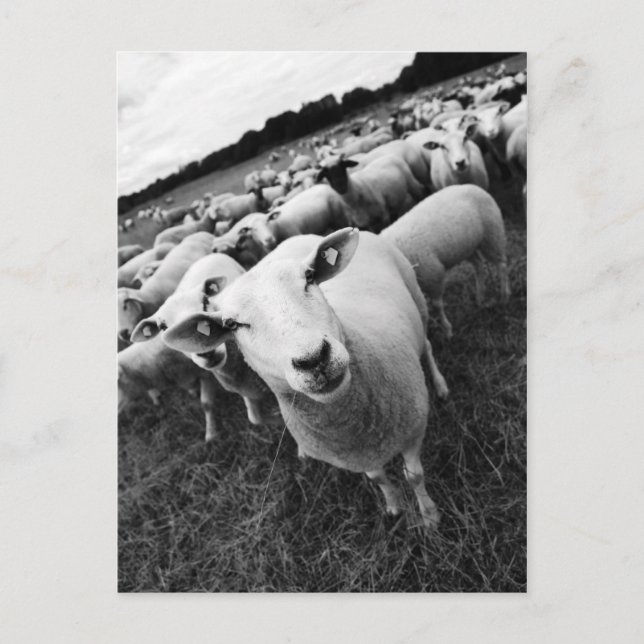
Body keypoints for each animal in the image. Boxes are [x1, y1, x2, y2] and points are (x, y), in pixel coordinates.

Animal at [162, 228, 448, 529]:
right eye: (232, 324)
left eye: (310, 278)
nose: (314, 359)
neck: (357, 426)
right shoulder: (357, 457)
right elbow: (379, 479)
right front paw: (394, 506)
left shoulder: (414, 427)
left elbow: (414, 476)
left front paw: (430, 516)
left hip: (417, 300)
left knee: (427, 345)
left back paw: (440, 385)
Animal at [380, 184, 510, 338]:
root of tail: (474, 186)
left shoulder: (432, 275)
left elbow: (437, 306)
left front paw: (447, 330)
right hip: (467, 247)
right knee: (479, 265)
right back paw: (480, 297)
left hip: (491, 235)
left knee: (501, 265)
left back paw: (504, 296)